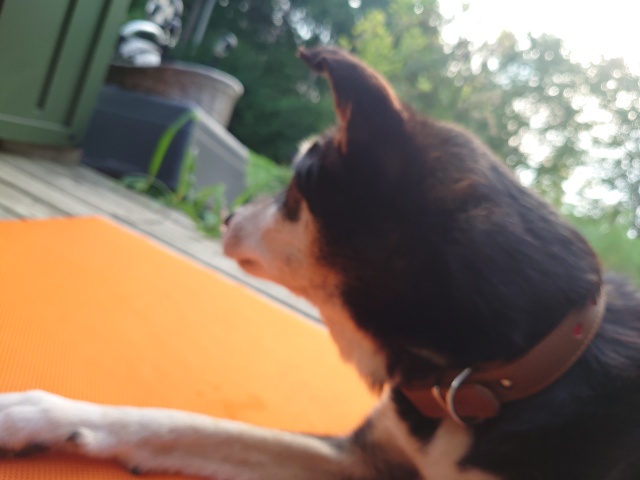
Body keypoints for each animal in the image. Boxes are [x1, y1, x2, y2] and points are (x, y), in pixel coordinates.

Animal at [0, 47, 639, 480]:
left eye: (294, 191)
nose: (228, 215)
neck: (486, 376)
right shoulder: (359, 459)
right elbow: (172, 422)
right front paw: (37, 414)